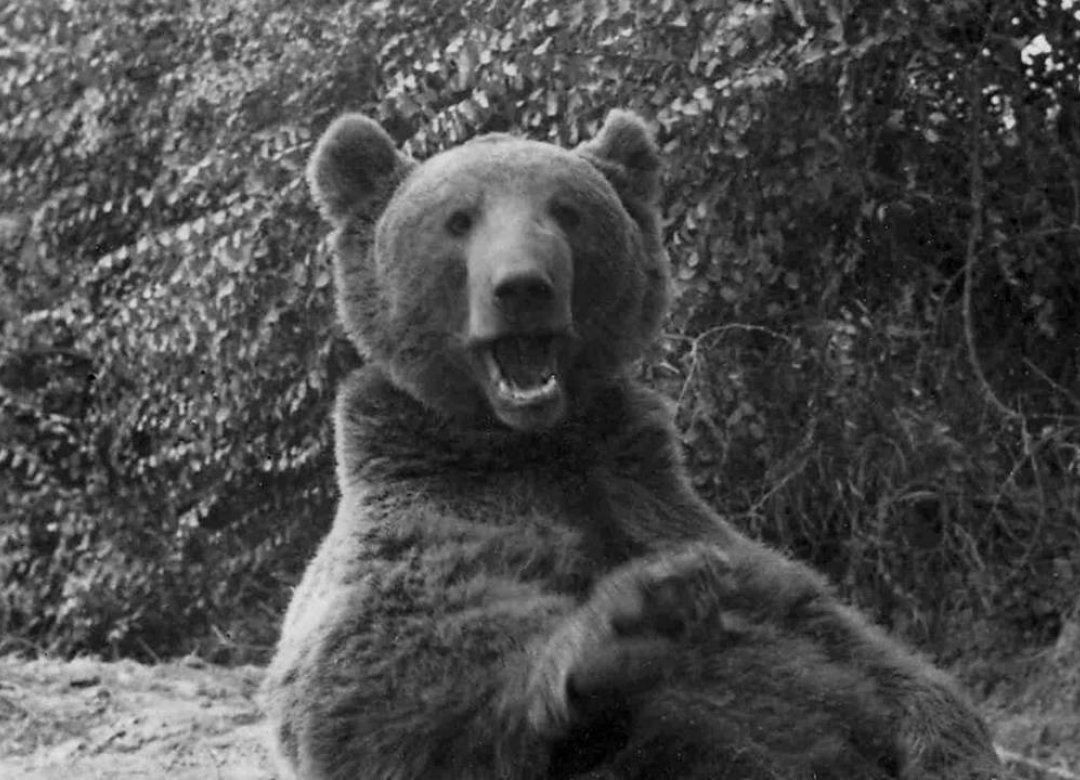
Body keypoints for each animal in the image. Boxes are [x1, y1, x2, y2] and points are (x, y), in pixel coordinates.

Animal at [262, 110, 1002, 780]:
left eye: (565, 211)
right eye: (458, 219)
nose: (522, 286)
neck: (537, 443)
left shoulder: (653, 497)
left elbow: (843, 637)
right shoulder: (424, 510)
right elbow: (378, 677)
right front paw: (635, 621)